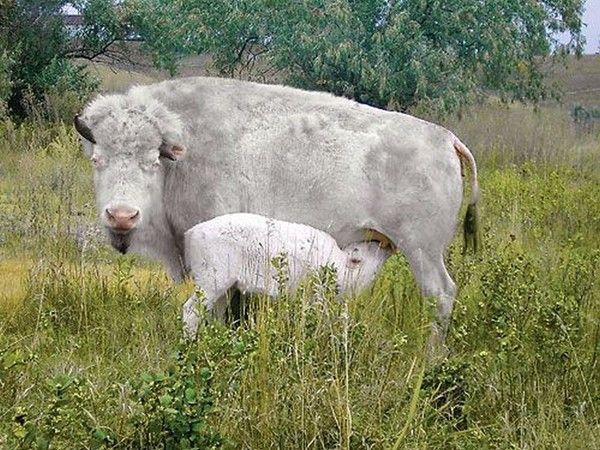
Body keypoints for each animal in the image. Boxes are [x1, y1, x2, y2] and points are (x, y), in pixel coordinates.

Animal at [180, 214, 392, 338]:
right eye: (369, 249)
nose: (387, 246)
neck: (339, 265)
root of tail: (190, 235)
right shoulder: (315, 296)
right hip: (209, 283)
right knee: (190, 311)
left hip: (225, 288)